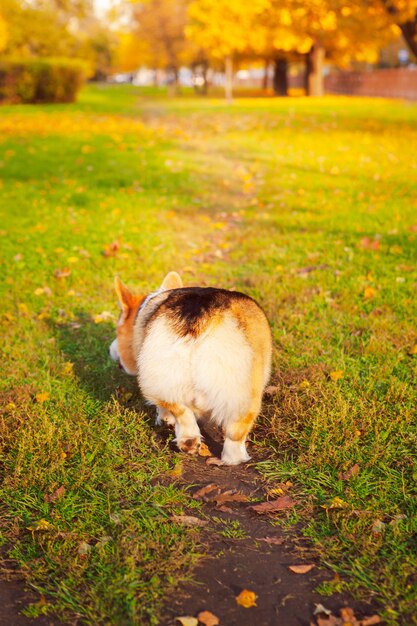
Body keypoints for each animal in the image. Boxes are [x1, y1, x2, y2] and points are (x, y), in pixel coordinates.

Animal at [109, 272, 272, 464]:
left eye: (117, 331)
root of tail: (199, 317)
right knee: (233, 434)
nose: (110, 349)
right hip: (243, 392)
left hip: (165, 374)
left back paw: (190, 442)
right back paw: (233, 459)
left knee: (181, 410)